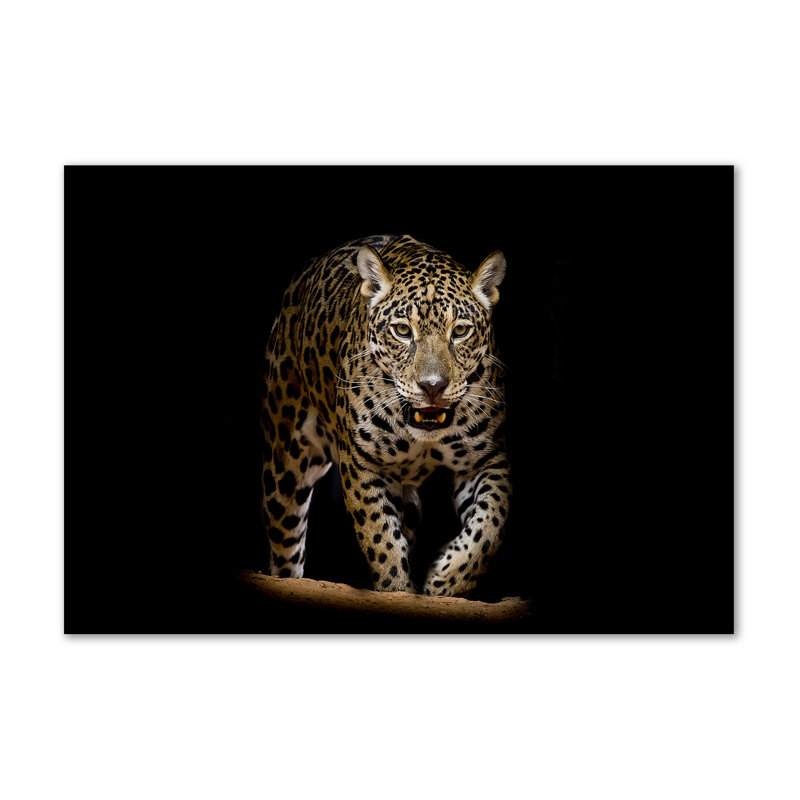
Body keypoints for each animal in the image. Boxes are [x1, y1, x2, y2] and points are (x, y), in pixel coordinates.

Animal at [260, 234, 511, 597]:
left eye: (461, 331)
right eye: (403, 331)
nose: (432, 386)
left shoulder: (486, 460)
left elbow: (490, 525)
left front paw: (444, 581)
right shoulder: (363, 464)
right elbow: (380, 539)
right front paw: (397, 588)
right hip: (286, 463)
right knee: (285, 544)